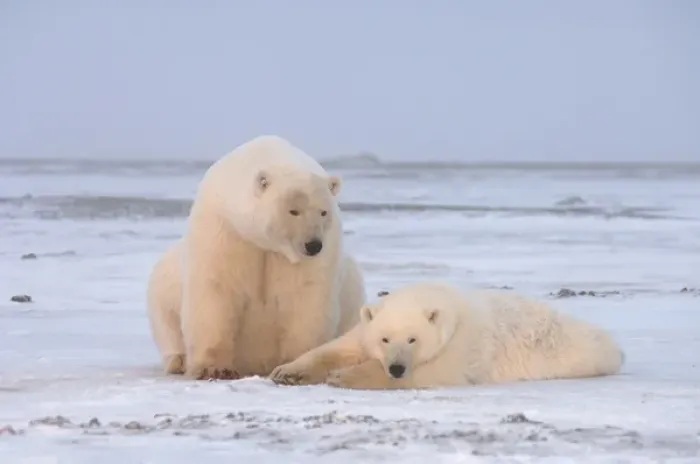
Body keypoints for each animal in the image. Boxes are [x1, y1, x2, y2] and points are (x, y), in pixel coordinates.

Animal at [146, 135, 366, 380]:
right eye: (293, 210)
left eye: (323, 212)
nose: (313, 245)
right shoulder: (226, 231)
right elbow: (216, 290)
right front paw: (214, 368)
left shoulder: (314, 256)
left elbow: (306, 297)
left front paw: (293, 363)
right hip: (162, 284)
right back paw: (179, 361)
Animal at [269, 282, 625, 390]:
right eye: (385, 339)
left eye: (412, 339)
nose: (396, 367)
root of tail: (615, 346)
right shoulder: (364, 331)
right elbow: (340, 347)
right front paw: (287, 372)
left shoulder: (462, 344)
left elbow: (431, 372)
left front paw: (343, 376)